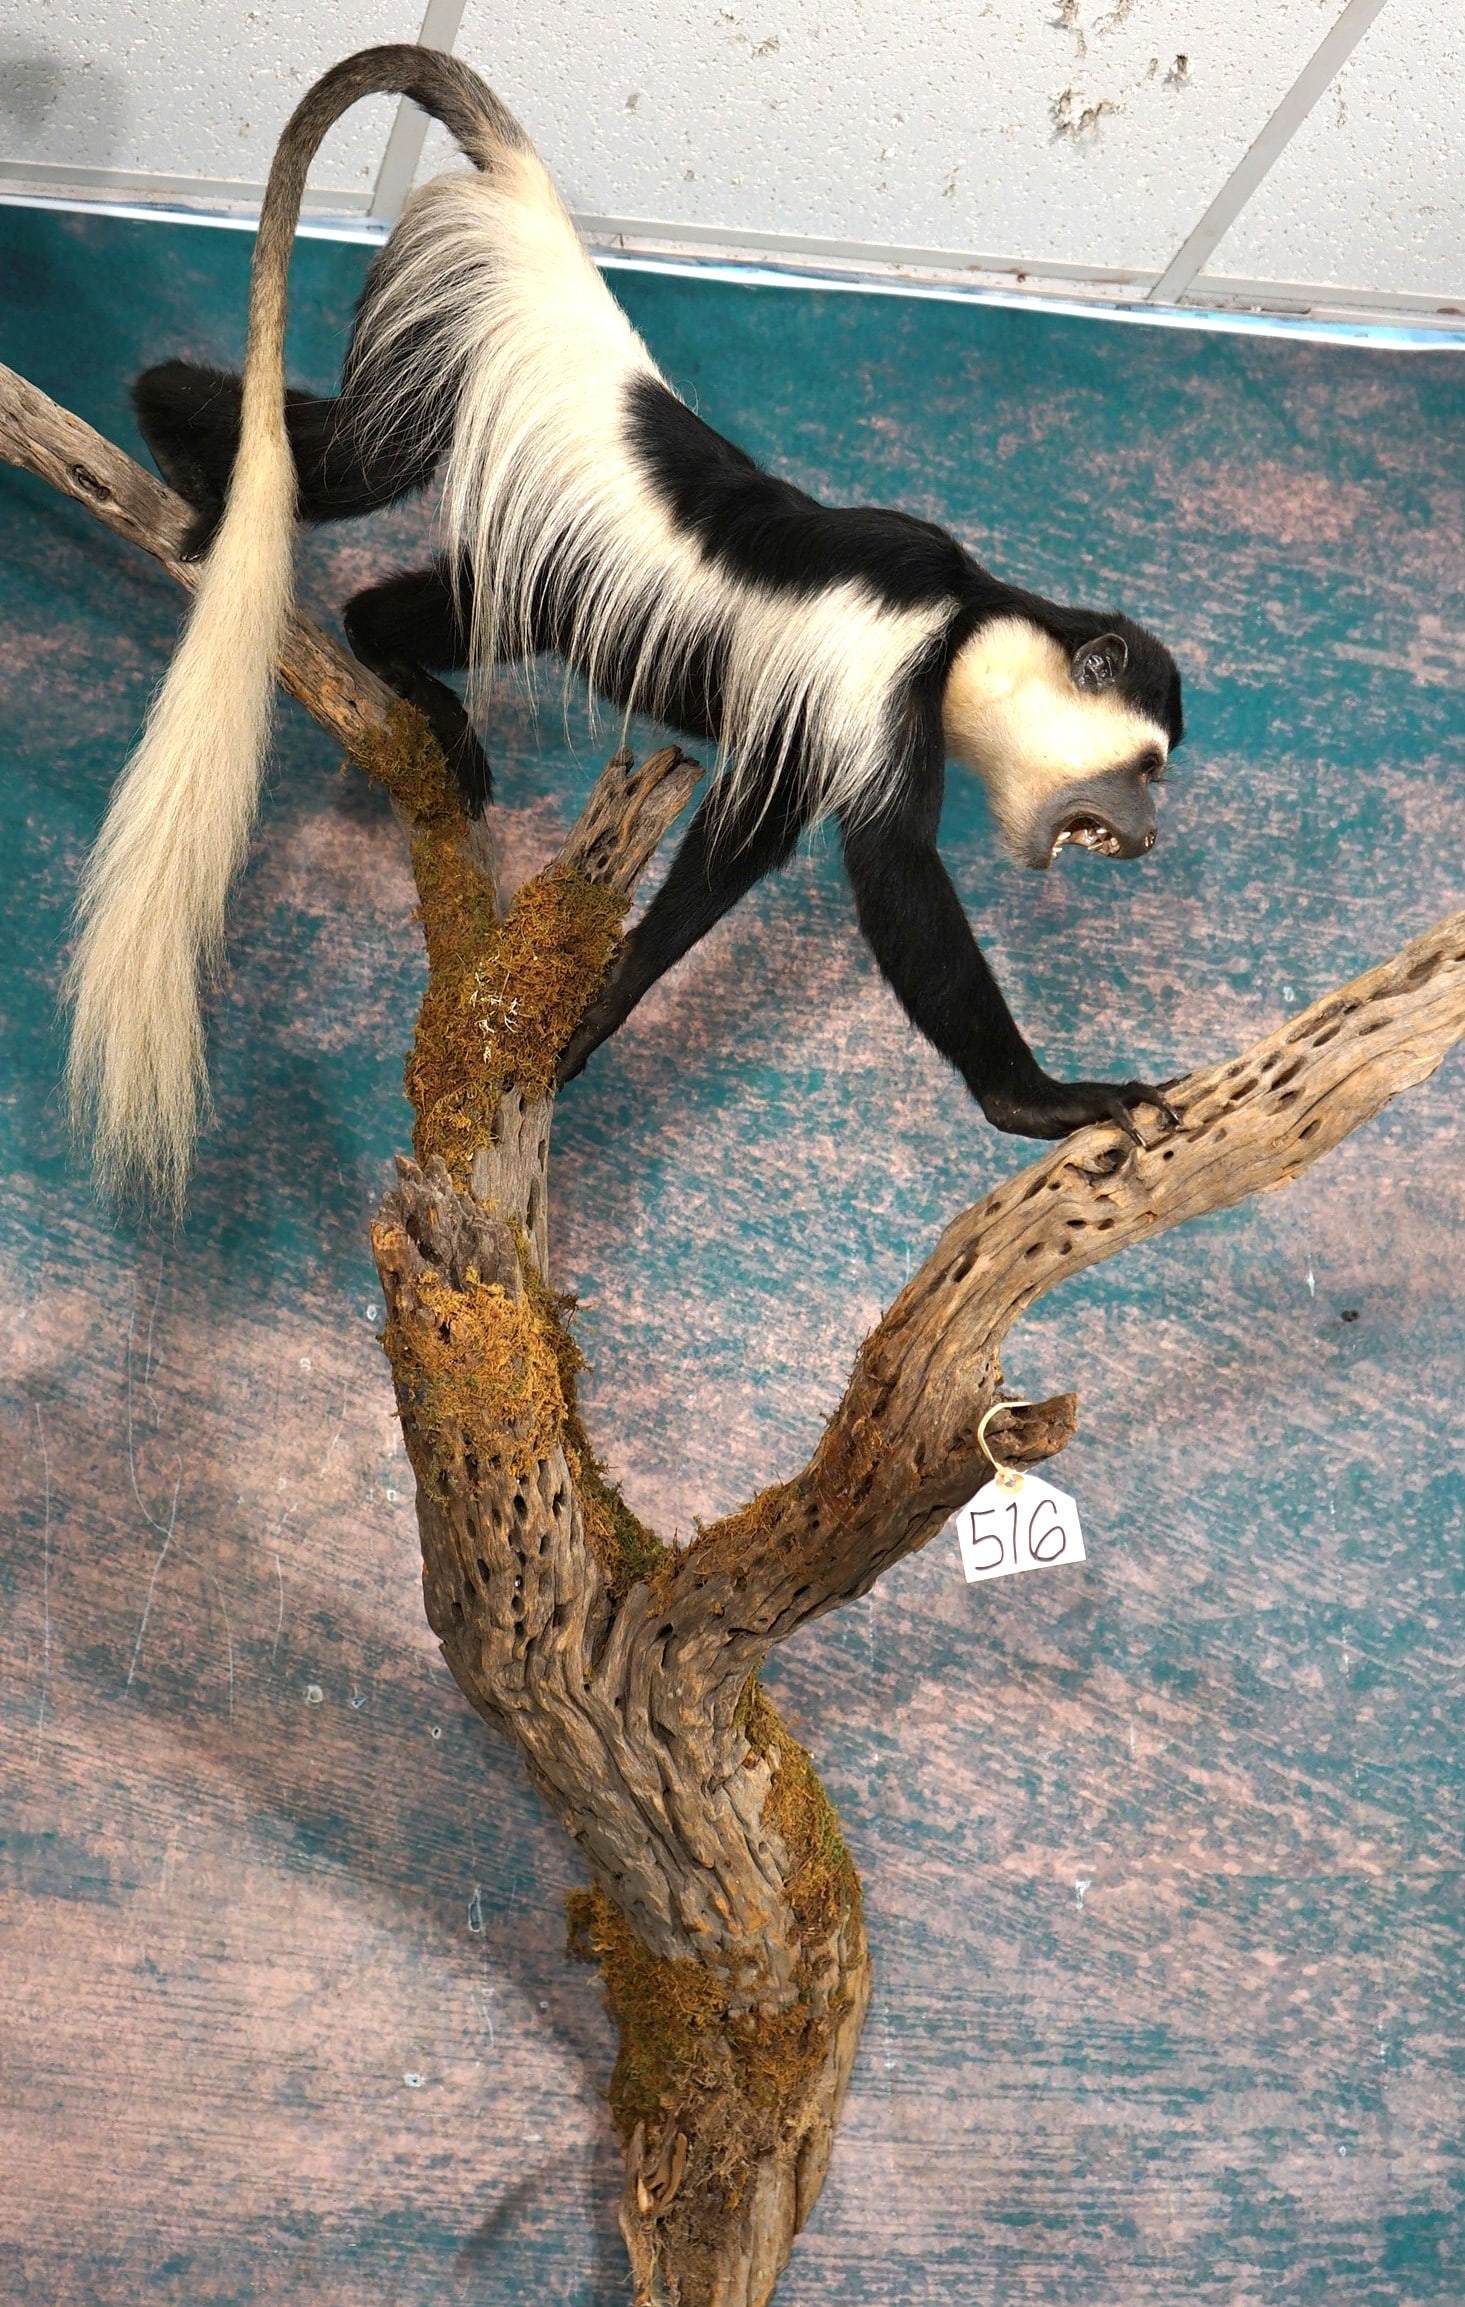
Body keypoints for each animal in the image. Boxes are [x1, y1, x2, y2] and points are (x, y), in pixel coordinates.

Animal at [67, 44, 1184, 1205]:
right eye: (1147, 766)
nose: (1151, 832)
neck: (969, 627)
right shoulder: (881, 667)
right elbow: (891, 875)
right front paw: (1039, 1102)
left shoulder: (811, 717)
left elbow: (740, 845)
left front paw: (600, 1010)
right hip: (447, 353)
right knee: (355, 459)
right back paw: (185, 454)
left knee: (483, 599)